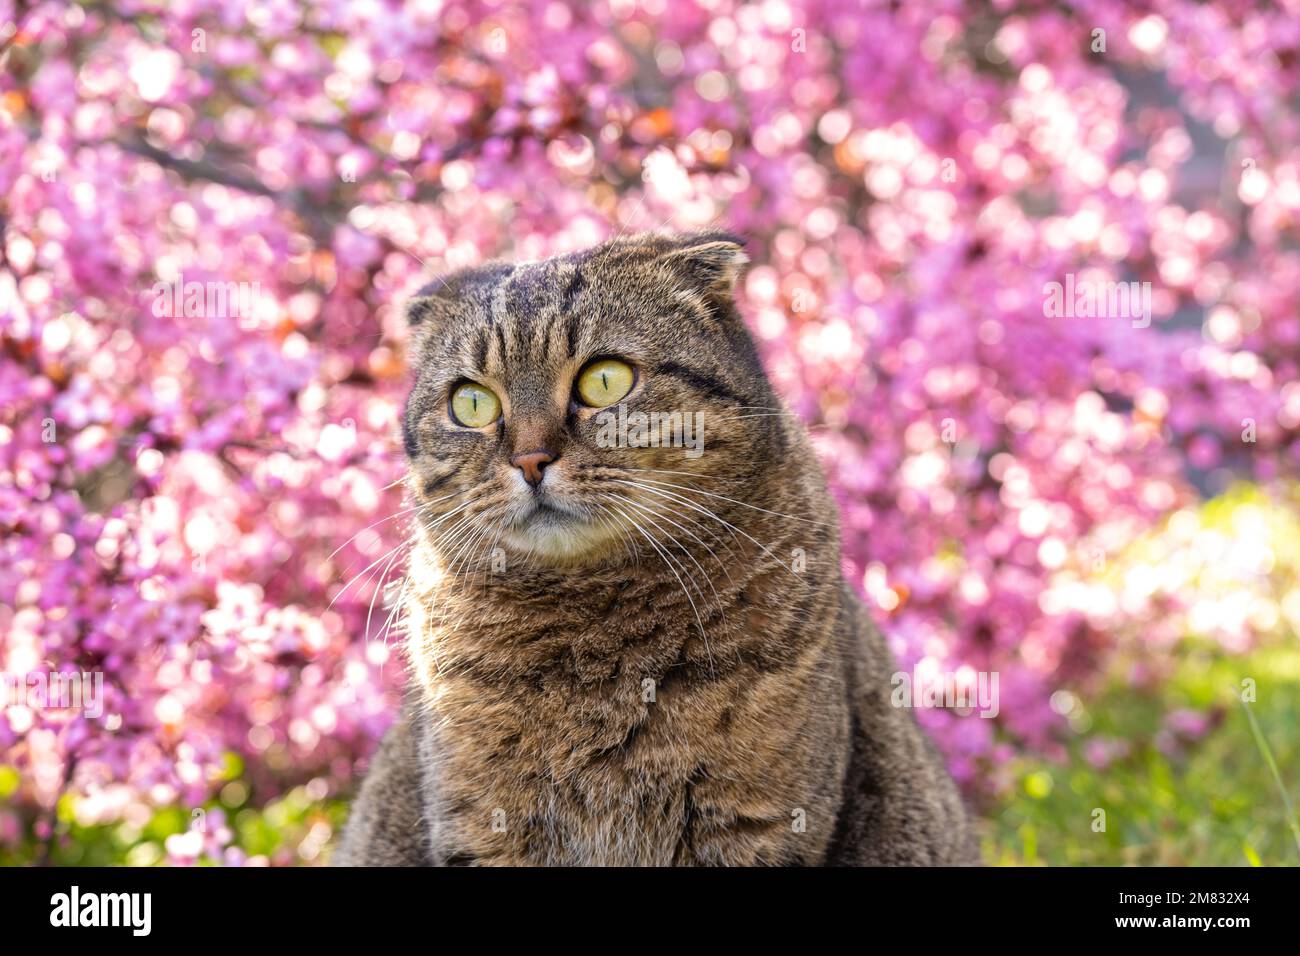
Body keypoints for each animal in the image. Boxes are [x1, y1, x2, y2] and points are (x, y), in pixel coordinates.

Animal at [335, 231, 977, 868]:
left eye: (604, 379)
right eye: (471, 402)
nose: (530, 459)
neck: (588, 633)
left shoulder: (754, 825)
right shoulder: (484, 830)